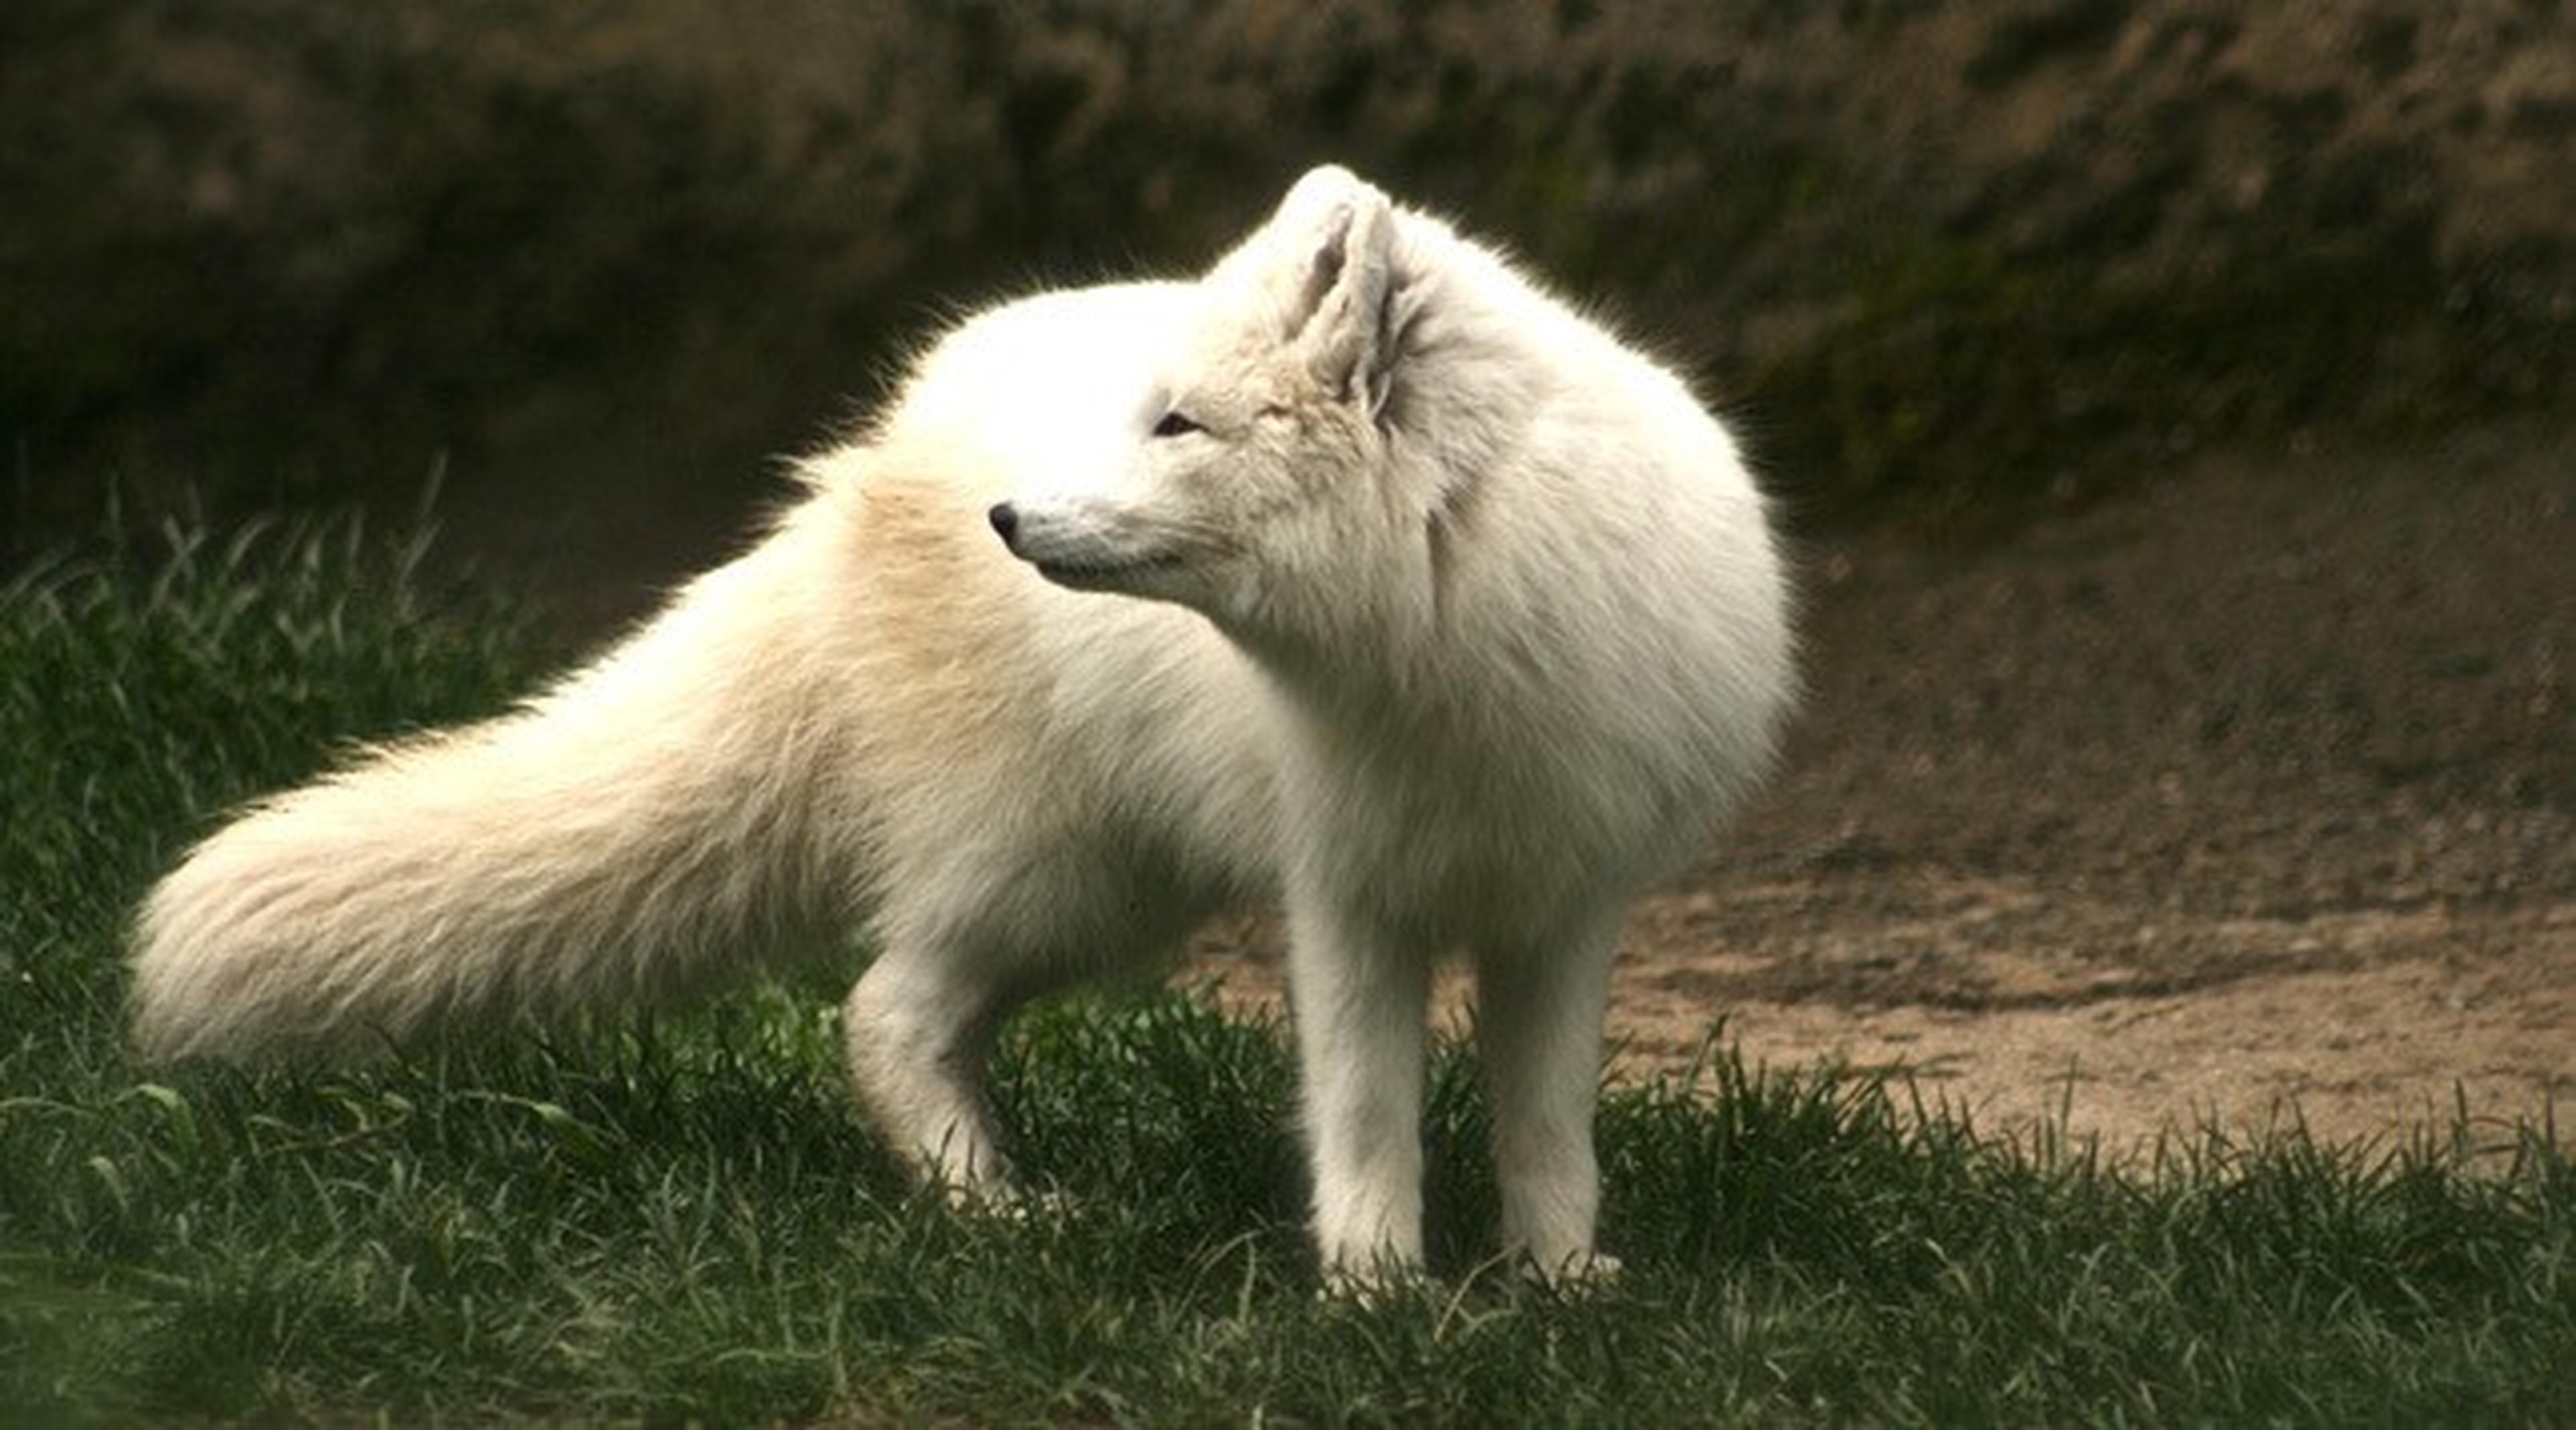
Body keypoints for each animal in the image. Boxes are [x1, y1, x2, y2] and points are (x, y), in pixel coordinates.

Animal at [130, 167, 1792, 1288]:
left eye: (1177, 425)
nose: (1011, 518)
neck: (1446, 642)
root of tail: (865, 458)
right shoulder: (1347, 899)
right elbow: (1368, 1110)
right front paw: (1380, 1296)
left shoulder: (1567, 897)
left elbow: (1547, 1123)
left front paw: (1559, 1287)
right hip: (1063, 878)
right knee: (880, 1010)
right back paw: (991, 1211)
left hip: (1112, 891)